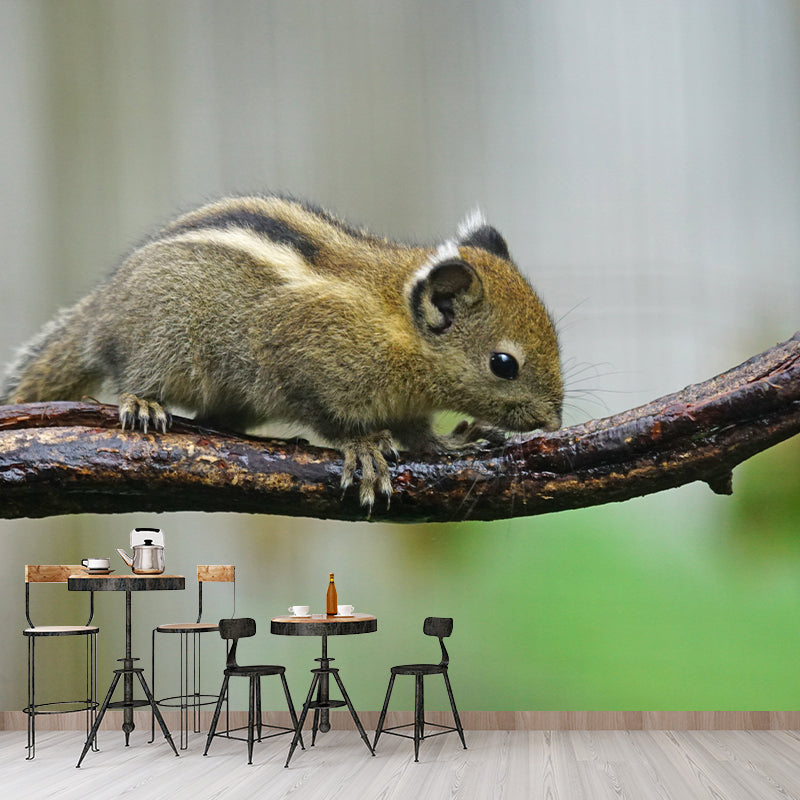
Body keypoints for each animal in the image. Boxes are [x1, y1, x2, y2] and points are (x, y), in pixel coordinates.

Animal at [2, 195, 563, 507]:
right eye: (504, 364)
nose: (554, 423)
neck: (396, 326)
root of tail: (101, 309)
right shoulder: (303, 363)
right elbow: (330, 419)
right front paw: (362, 447)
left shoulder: (407, 407)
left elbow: (419, 435)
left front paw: (452, 444)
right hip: (160, 342)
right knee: (133, 377)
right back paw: (142, 402)